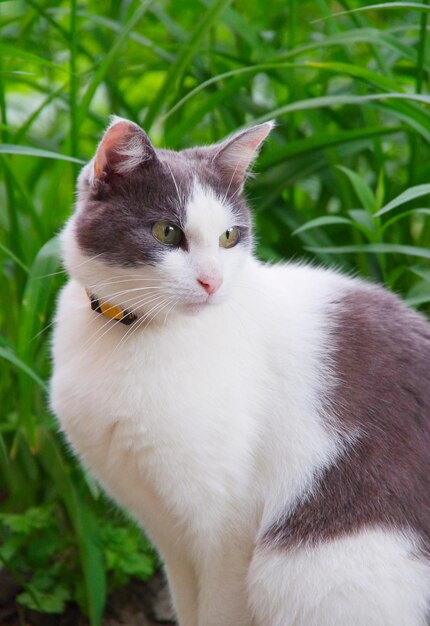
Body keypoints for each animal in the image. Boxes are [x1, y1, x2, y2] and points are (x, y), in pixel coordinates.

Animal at [50, 118, 430, 624]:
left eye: (229, 236)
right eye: (166, 232)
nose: (212, 281)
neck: (134, 335)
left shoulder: (228, 528)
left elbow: (217, 610)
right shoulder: (166, 530)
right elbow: (187, 604)